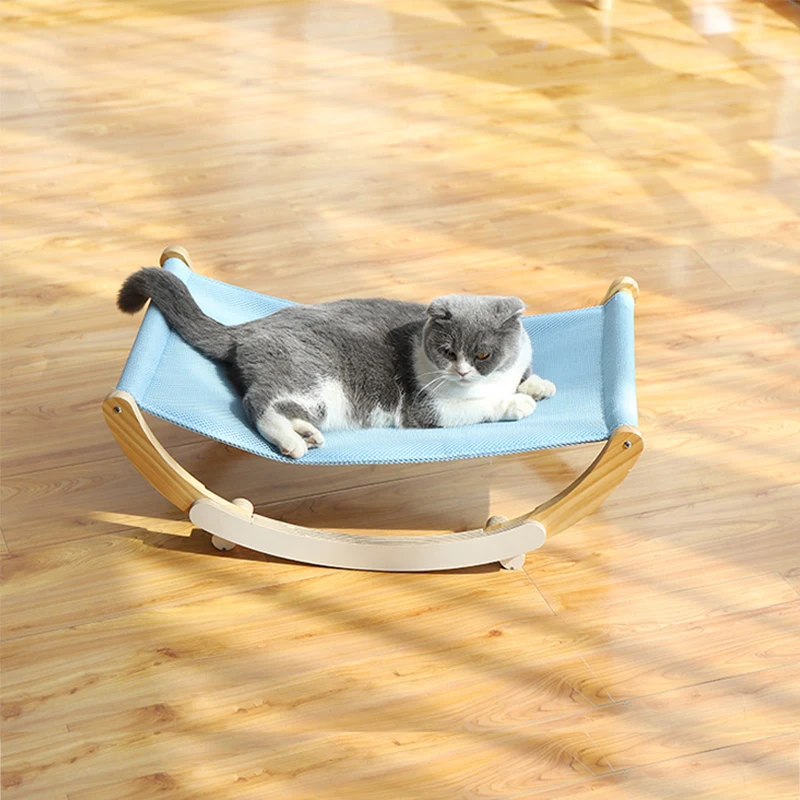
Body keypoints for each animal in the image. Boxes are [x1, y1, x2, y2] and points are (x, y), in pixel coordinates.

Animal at [118, 268, 556, 458]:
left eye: (482, 354)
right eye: (448, 351)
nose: (462, 371)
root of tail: (247, 327)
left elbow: (523, 375)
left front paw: (538, 385)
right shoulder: (428, 409)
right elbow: (481, 406)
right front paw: (517, 402)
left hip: (315, 400)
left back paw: (308, 435)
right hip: (314, 380)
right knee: (257, 403)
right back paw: (294, 444)